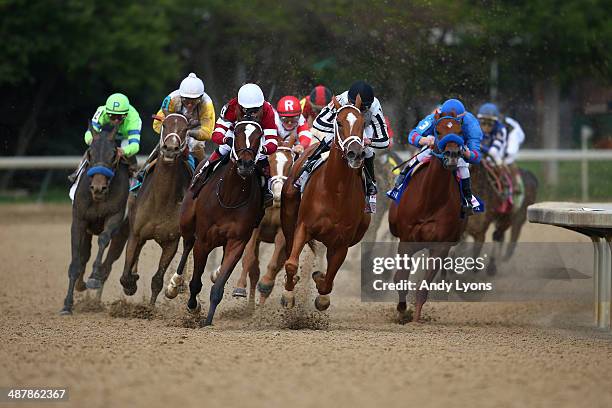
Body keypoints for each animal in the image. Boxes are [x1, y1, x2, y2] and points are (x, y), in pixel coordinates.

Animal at [62, 126, 129, 314]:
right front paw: (67, 304)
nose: (98, 188)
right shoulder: (79, 221)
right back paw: (80, 285)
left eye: (113, 154)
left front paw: (93, 277)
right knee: (84, 255)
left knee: (106, 260)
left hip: (121, 234)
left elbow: (104, 239)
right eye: (90, 153)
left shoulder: (115, 217)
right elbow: (76, 261)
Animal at [119, 113, 191, 304]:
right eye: (164, 124)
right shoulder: (136, 234)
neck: (160, 201)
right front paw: (131, 284)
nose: (170, 148)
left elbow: (157, 280)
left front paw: (150, 308)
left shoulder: (171, 241)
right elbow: (125, 275)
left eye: (185, 129)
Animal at [166, 119, 264, 326]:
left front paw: (208, 320)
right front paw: (193, 307)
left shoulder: (237, 241)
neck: (230, 197)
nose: (245, 164)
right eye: (237, 132)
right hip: (187, 221)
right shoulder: (204, 240)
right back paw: (174, 284)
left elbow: (219, 286)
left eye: (258, 136)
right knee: (187, 244)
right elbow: (195, 282)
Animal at [280, 95, 368, 310]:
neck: (336, 191)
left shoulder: (342, 242)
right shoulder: (304, 226)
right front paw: (288, 294)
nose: (355, 153)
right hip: (289, 215)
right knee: (289, 248)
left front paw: (320, 285)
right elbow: (291, 263)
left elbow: (327, 283)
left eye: (363, 124)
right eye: (339, 122)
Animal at [388, 112, 468, 322]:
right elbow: (400, 278)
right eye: (437, 131)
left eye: (460, 132)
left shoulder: (440, 247)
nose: (452, 155)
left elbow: (423, 287)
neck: (431, 199)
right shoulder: (406, 241)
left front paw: (415, 319)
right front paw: (402, 310)